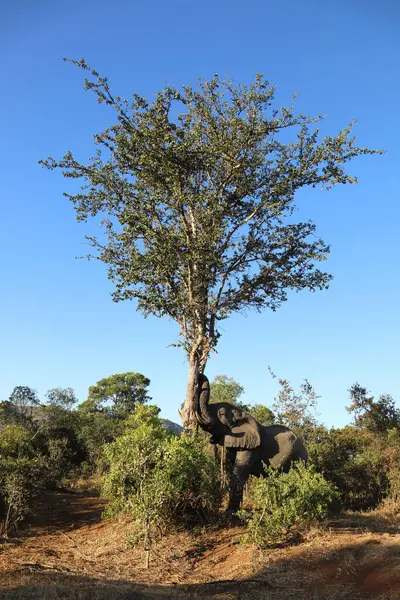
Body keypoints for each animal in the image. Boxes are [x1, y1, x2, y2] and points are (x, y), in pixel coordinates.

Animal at [195, 376, 308, 510]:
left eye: (221, 414)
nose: (200, 375)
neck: (242, 414)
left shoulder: (252, 447)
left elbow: (239, 473)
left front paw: (230, 512)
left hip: (299, 458)